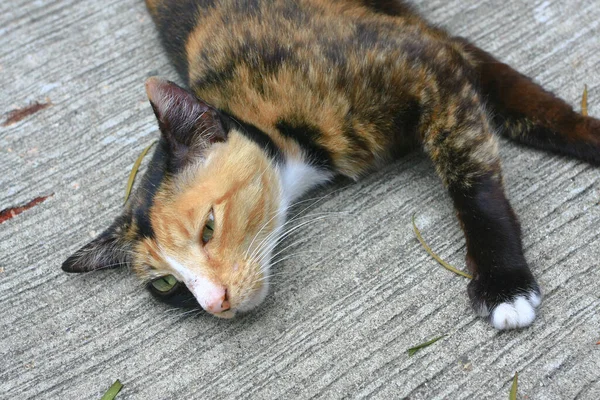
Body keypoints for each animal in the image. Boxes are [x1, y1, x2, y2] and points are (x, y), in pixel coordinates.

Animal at [62, 0, 600, 330]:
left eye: (209, 228)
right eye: (167, 284)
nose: (214, 304)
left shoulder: (424, 61)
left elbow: (477, 168)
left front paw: (503, 282)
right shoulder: (428, 50)